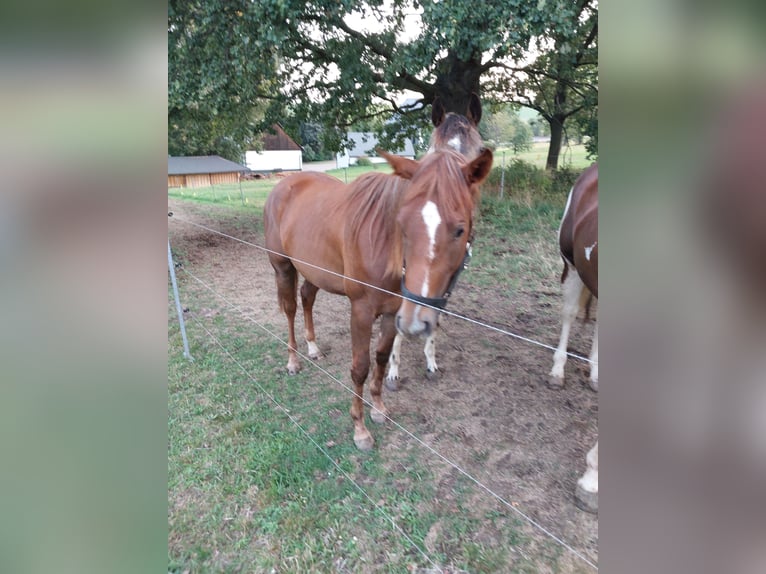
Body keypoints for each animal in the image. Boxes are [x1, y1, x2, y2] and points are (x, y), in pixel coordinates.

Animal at [262, 147, 492, 450]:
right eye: (402, 224)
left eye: (459, 230)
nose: (417, 321)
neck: (382, 244)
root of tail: (283, 185)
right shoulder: (361, 311)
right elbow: (360, 367)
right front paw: (360, 430)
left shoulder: (393, 312)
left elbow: (382, 359)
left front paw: (379, 409)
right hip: (284, 268)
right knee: (290, 309)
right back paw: (293, 361)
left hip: (314, 271)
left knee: (307, 299)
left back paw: (313, 348)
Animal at [384, 94, 486, 390]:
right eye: (402, 224)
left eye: (459, 231)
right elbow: (397, 326)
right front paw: (393, 370)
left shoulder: (447, 279)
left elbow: (434, 314)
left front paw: (430, 361)